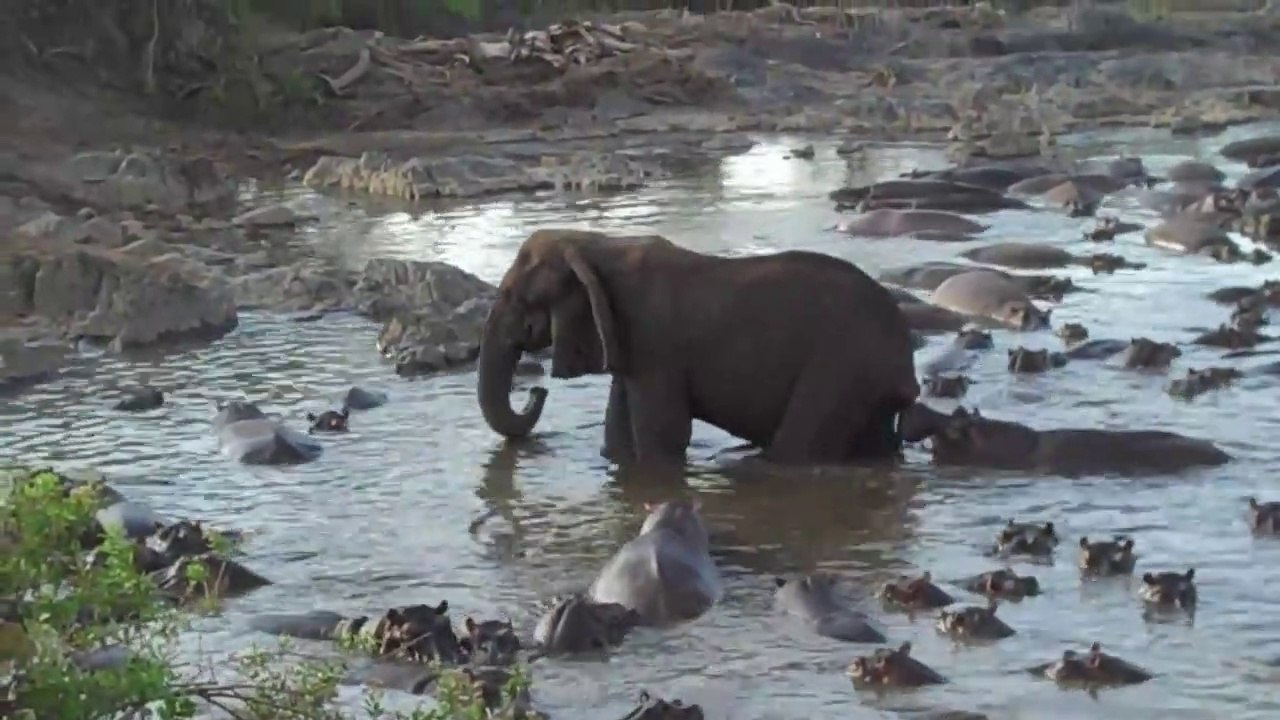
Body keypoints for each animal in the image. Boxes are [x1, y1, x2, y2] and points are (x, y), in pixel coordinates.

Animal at [475, 229, 920, 466]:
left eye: (516, 297)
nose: (537, 391)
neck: (593, 243)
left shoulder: (654, 342)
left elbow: (665, 435)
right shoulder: (626, 337)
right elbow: (618, 437)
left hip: (844, 367)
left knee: (795, 449)